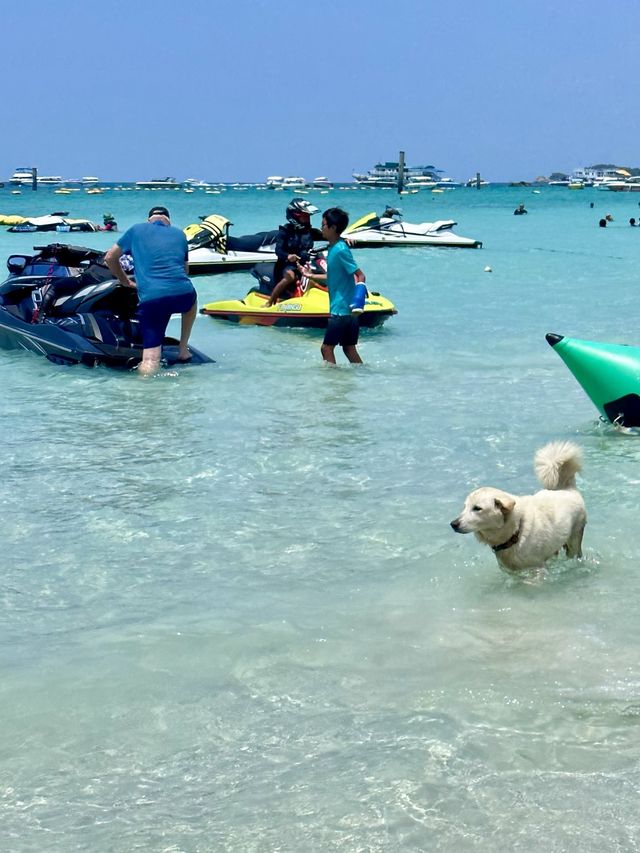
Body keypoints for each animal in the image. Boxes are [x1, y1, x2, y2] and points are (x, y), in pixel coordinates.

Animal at [450, 440, 584, 572]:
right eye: (464, 507)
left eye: (477, 508)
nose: (453, 524)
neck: (516, 531)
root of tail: (568, 489)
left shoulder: (537, 569)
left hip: (574, 540)